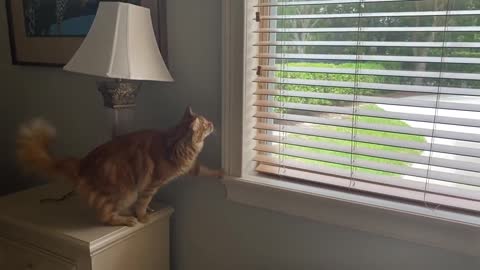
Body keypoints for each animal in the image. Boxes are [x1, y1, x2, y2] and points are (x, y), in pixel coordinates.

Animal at [16, 106, 223, 227]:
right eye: (206, 124)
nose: (213, 123)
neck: (175, 142)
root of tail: (82, 162)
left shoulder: (191, 167)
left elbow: (206, 170)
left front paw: (223, 173)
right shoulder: (151, 185)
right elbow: (143, 203)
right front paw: (143, 217)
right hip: (125, 192)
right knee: (105, 216)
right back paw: (128, 220)